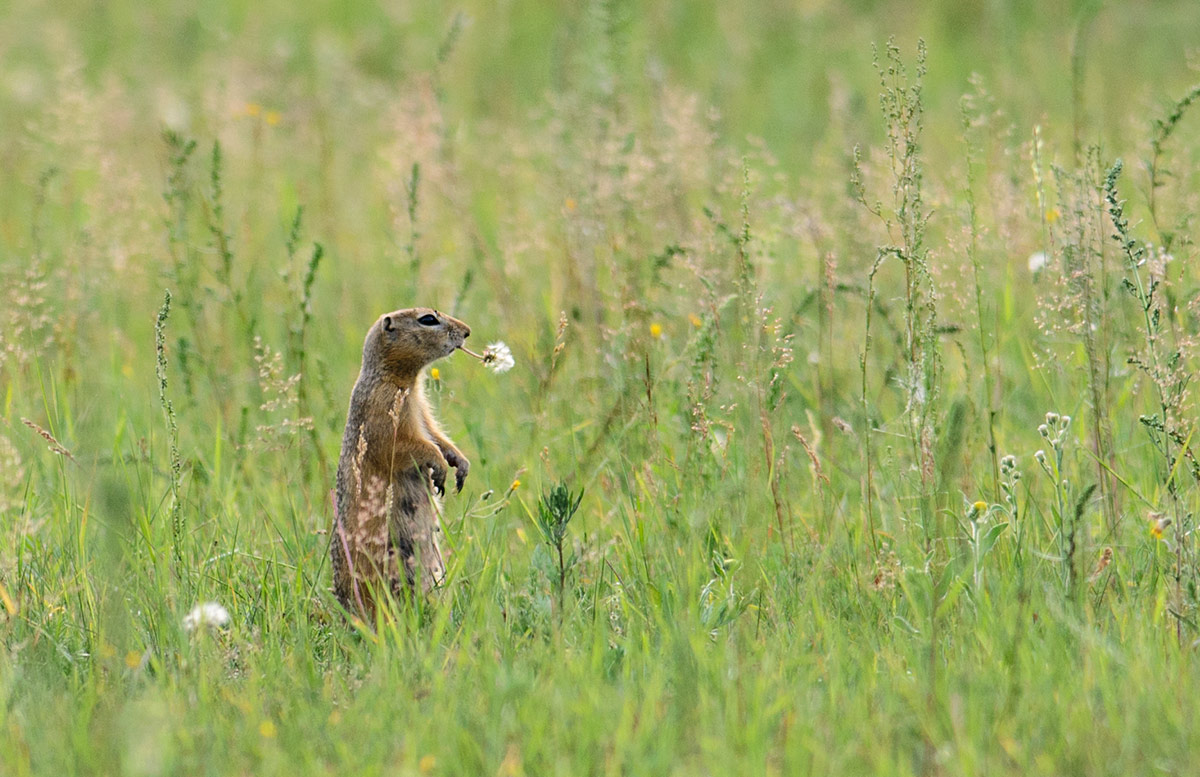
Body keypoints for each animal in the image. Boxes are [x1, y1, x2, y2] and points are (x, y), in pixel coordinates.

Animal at [336, 306, 475, 613]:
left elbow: (436, 435)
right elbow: (400, 445)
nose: (468, 331)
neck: (406, 381)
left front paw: (459, 463)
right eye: (428, 319)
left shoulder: (422, 410)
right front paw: (438, 466)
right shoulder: (384, 408)